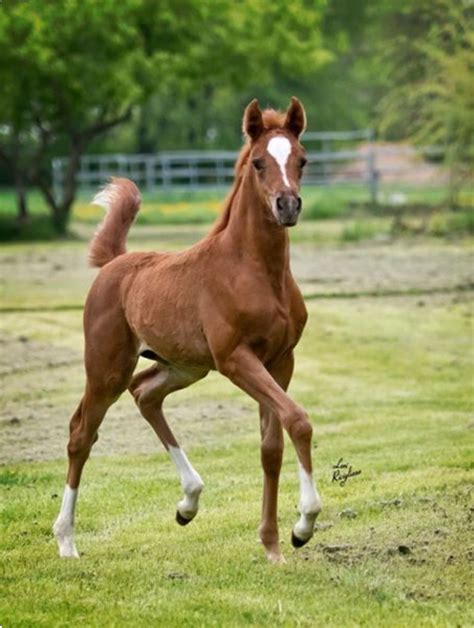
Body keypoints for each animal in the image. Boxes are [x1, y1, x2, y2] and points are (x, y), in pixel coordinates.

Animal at [54, 98, 322, 564]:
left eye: (302, 160)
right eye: (258, 162)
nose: (287, 205)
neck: (255, 271)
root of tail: (115, 263)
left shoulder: (280, 360)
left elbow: (272, 446)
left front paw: (273, 544)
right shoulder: (236, 359)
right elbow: (298, 419)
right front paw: (303, 525)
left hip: (184, 366)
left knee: (145, 393)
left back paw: (188, 502)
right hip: (107, 368)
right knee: (81, 433)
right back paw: (67, 540)